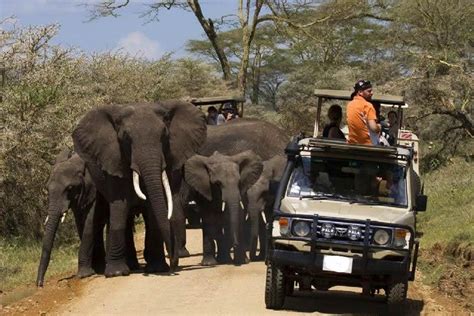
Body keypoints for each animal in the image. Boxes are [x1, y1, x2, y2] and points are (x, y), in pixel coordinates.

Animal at [71, 100, 206, 276]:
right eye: (126, 139)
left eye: (164, 135)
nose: (174, 266)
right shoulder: (114, 159)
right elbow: (119, 206)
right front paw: (116, 273)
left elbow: (153, 208)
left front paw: (157, 268)